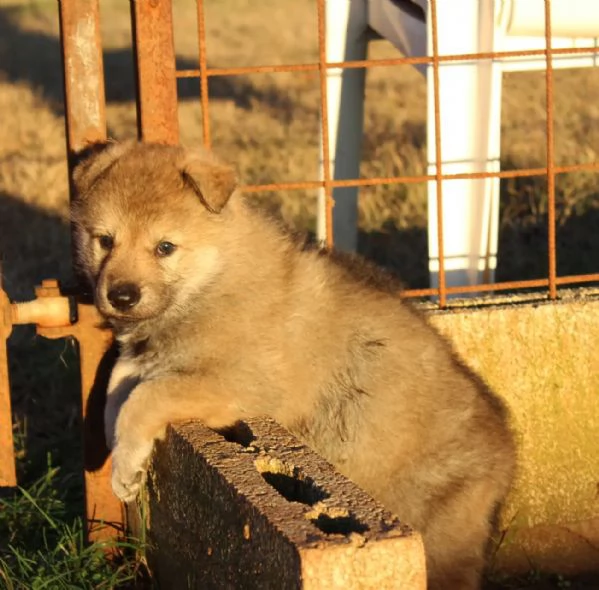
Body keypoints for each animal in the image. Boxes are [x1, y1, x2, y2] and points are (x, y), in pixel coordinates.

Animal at [72, 141, 516, 588]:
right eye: (105, 240)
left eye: (165, 247)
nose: (121, 296)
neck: (213, 280)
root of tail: (506, 453)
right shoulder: (148, 357)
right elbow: (117, 385)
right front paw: (117, 451)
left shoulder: (240, 383)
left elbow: (148, 395)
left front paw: (125, 465)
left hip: (439, 537)